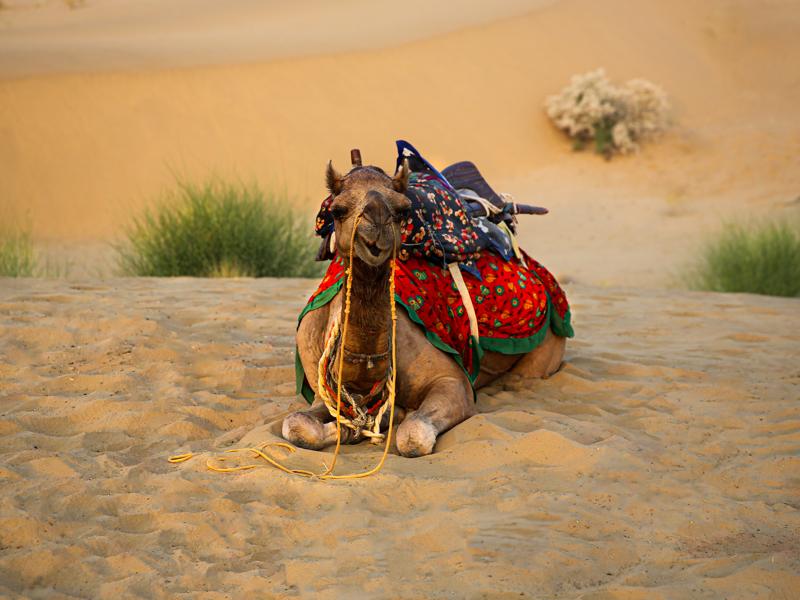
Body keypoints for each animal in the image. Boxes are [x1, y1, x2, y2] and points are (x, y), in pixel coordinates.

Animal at [282, 160, 567, 458]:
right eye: (337, 210)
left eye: (402, 209)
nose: (377, 220)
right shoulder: (320, 385)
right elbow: (297, 424)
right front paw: (352, 428)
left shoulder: (453, 382)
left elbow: (413, 435)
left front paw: (388, 417)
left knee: (524, 376)